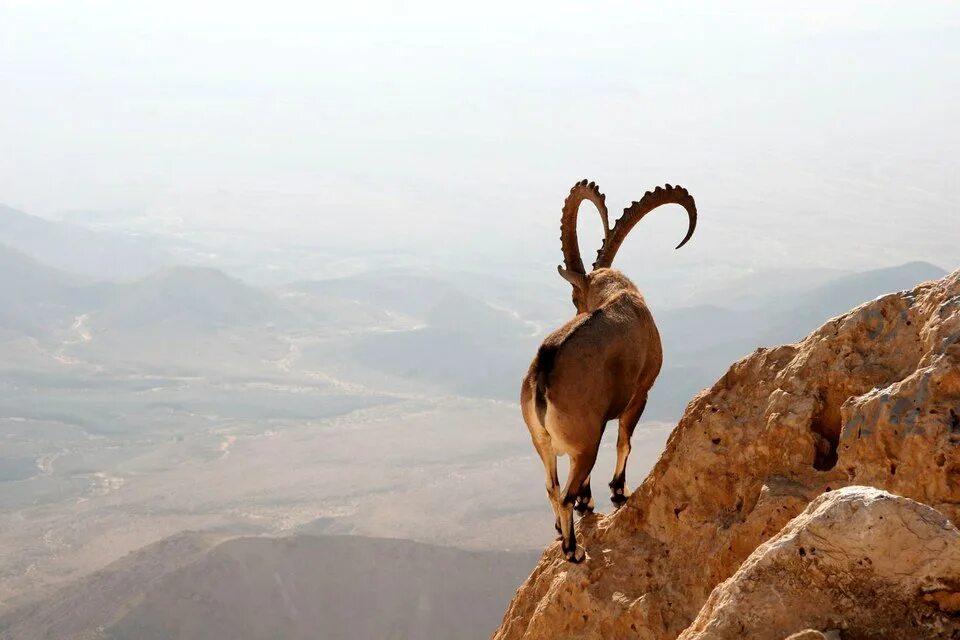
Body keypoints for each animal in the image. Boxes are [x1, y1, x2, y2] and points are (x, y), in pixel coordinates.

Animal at [516, 179, 696, 560]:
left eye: (574, 297)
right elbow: (624, 441)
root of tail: (544, 369)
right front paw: (617, 492)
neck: (621, 293)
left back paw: (563, 530)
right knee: (565, 493)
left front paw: (589, 502)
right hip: (584, 441)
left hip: (544, 443)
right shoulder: (640, 393)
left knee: (552, 487)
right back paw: (573, 550)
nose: (577, 309)